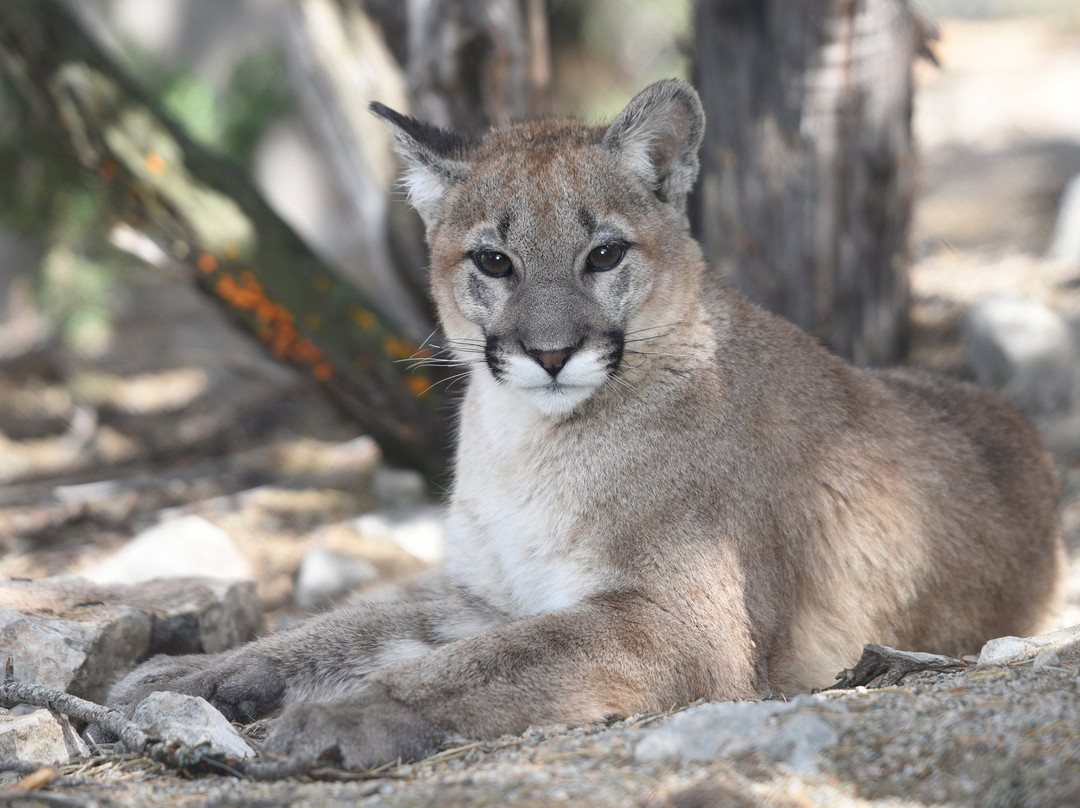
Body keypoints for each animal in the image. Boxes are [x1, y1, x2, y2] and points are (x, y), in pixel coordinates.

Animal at [107, 78, 1062, 769]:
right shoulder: (484, 592)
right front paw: (193, 671)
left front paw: (348, 715)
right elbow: (343, 627)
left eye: (603, 254)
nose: (551, 353)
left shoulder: (678, 620)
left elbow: (498, 660)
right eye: (493, 261)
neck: (523, 441)